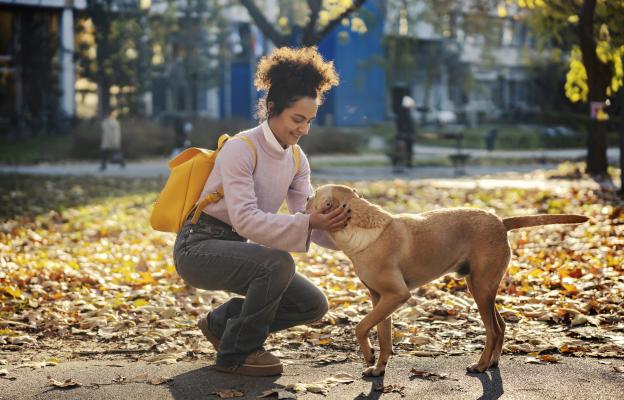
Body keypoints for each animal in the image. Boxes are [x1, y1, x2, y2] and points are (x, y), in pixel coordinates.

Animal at [308, 184, 588, 376]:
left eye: (313, 197)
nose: (306, 197)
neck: (361, 224)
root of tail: (500, 221)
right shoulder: (380, 299)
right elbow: (382, 336)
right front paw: (378, 368)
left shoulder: (396, 295)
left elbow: (360, 327)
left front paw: (368, 356)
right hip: (481, 287)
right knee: (500, 327)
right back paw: (492, 362)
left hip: (480, 289)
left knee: (492, 330)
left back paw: (480, 365)